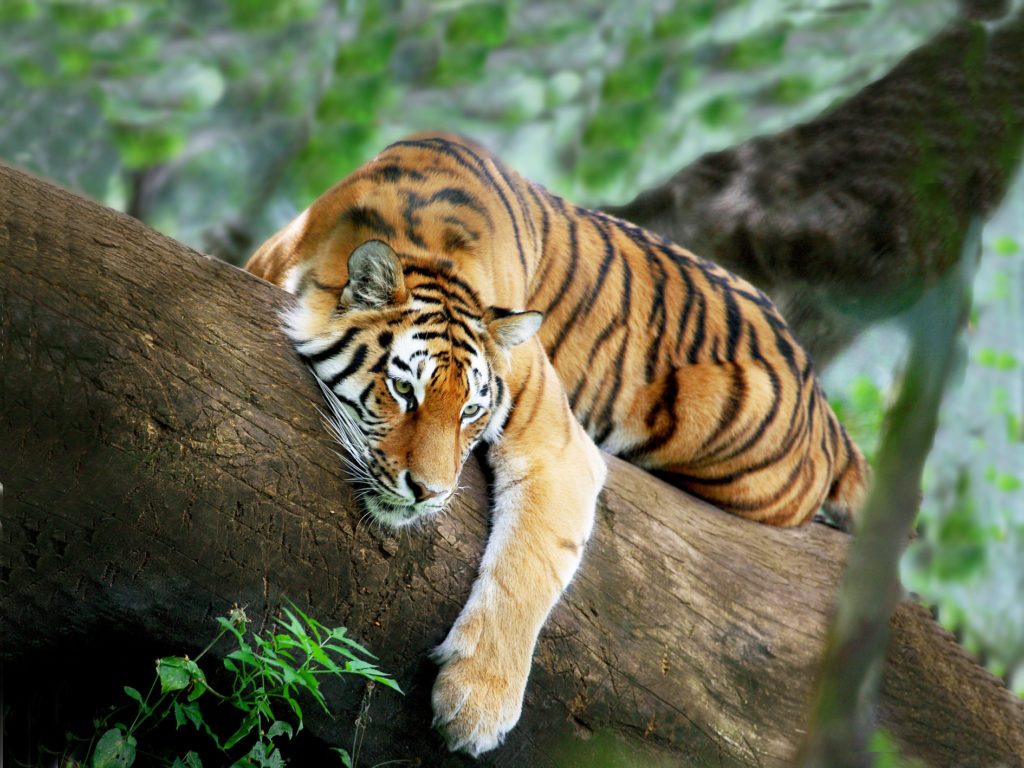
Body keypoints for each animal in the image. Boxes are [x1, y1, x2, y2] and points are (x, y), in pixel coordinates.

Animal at [243, 132, 868, 757]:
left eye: (470, 411)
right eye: (403, 391)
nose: (428, 493)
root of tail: (821, 397)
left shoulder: (559, 445)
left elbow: (528, 565)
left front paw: (477, 706)